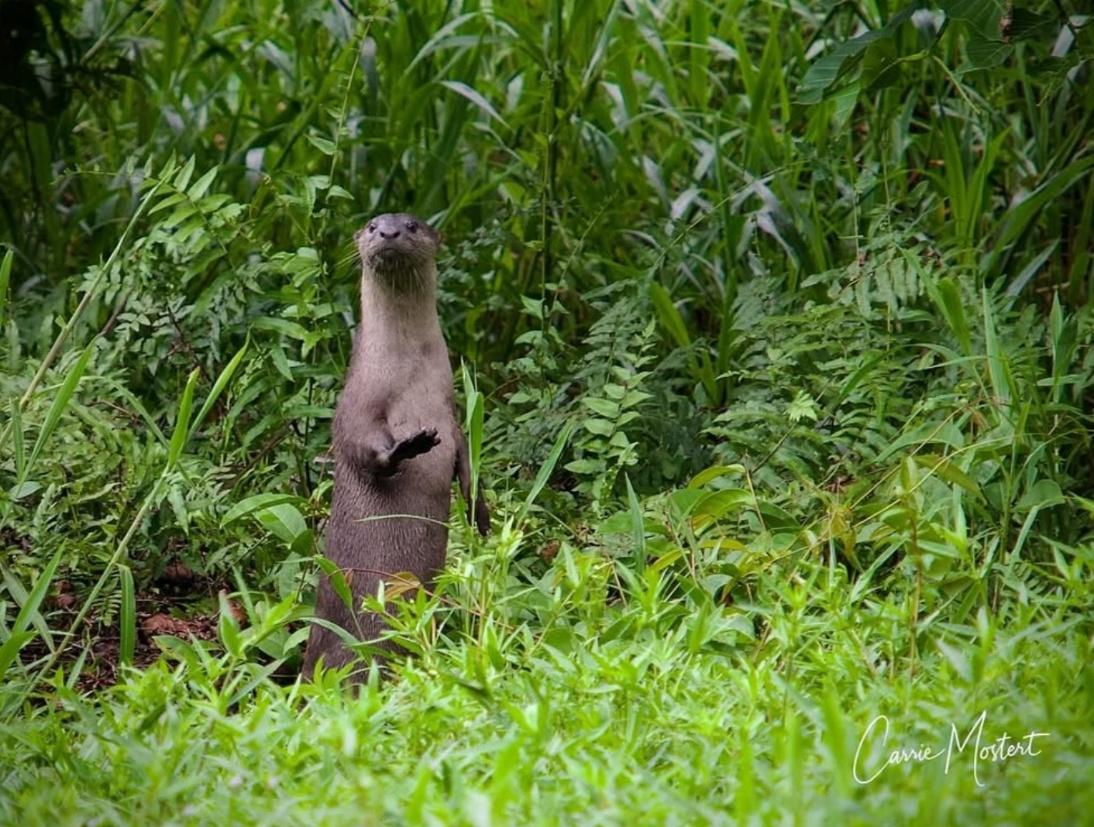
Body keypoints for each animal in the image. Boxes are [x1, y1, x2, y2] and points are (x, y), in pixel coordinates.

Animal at [302, 212, 489, 680]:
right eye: (372, 226)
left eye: (413, 225)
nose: (388, 232)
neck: (409, 372)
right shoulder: (357, 400)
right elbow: (359, 444)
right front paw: (407, 447)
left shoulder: (449, 408)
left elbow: (466, 457)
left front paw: (480, 513)